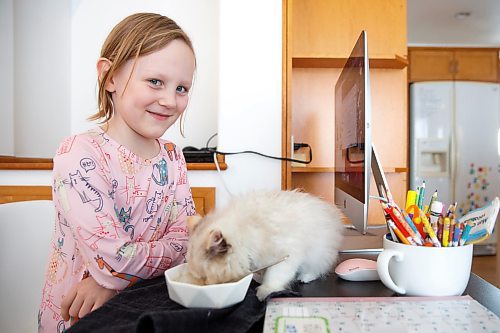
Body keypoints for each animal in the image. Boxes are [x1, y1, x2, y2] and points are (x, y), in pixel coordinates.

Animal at [184, 188, 344, 300]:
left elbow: (274, 276)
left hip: (317, 254)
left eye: (204, 278)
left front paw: (265, 291)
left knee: (316, 269)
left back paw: (305, 276)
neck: (245, 232)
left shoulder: (286, 256)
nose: (204, 285)